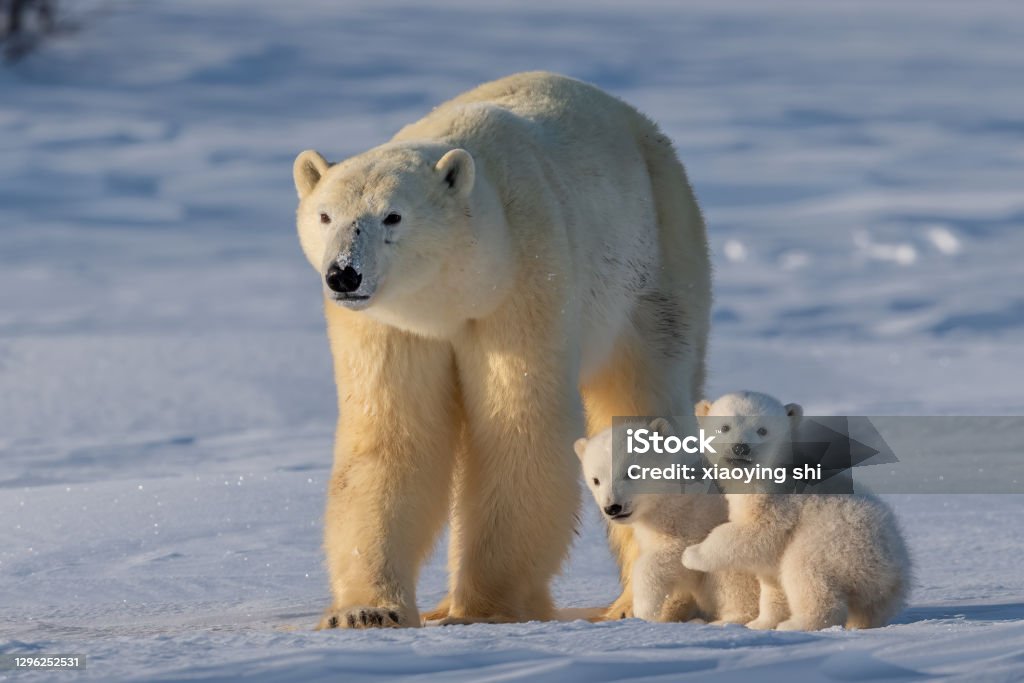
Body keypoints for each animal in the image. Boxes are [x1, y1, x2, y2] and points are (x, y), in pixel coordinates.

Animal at [292, 72, 708, 626]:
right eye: (325, 215)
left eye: (393, 216)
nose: (344, 273)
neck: (456, 292)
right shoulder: (391, 326)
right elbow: (391, 436)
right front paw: (366, 611)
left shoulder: (524, 281)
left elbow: (518, 428)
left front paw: (483, 609)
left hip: (657, 263)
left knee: (644, 393)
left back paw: (636, 603)